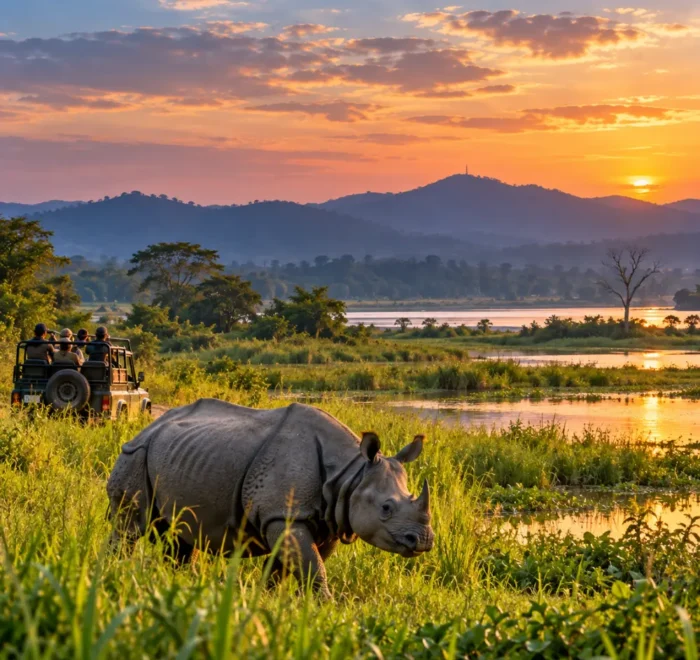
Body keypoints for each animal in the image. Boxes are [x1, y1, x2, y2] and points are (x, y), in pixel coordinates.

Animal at [107, 399, 433, 598]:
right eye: (386, 508)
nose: (423, 541)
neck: (350, 474)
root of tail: (147, 426)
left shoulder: (321, 520)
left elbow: (290, 566)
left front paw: (265, 599)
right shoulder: (283, 514)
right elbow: (313, 568)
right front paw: (325, 606)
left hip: (176, 454)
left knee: (180, 535)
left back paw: (177, 582)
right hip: (136, 453)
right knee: (130, 527)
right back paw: (115, 572)